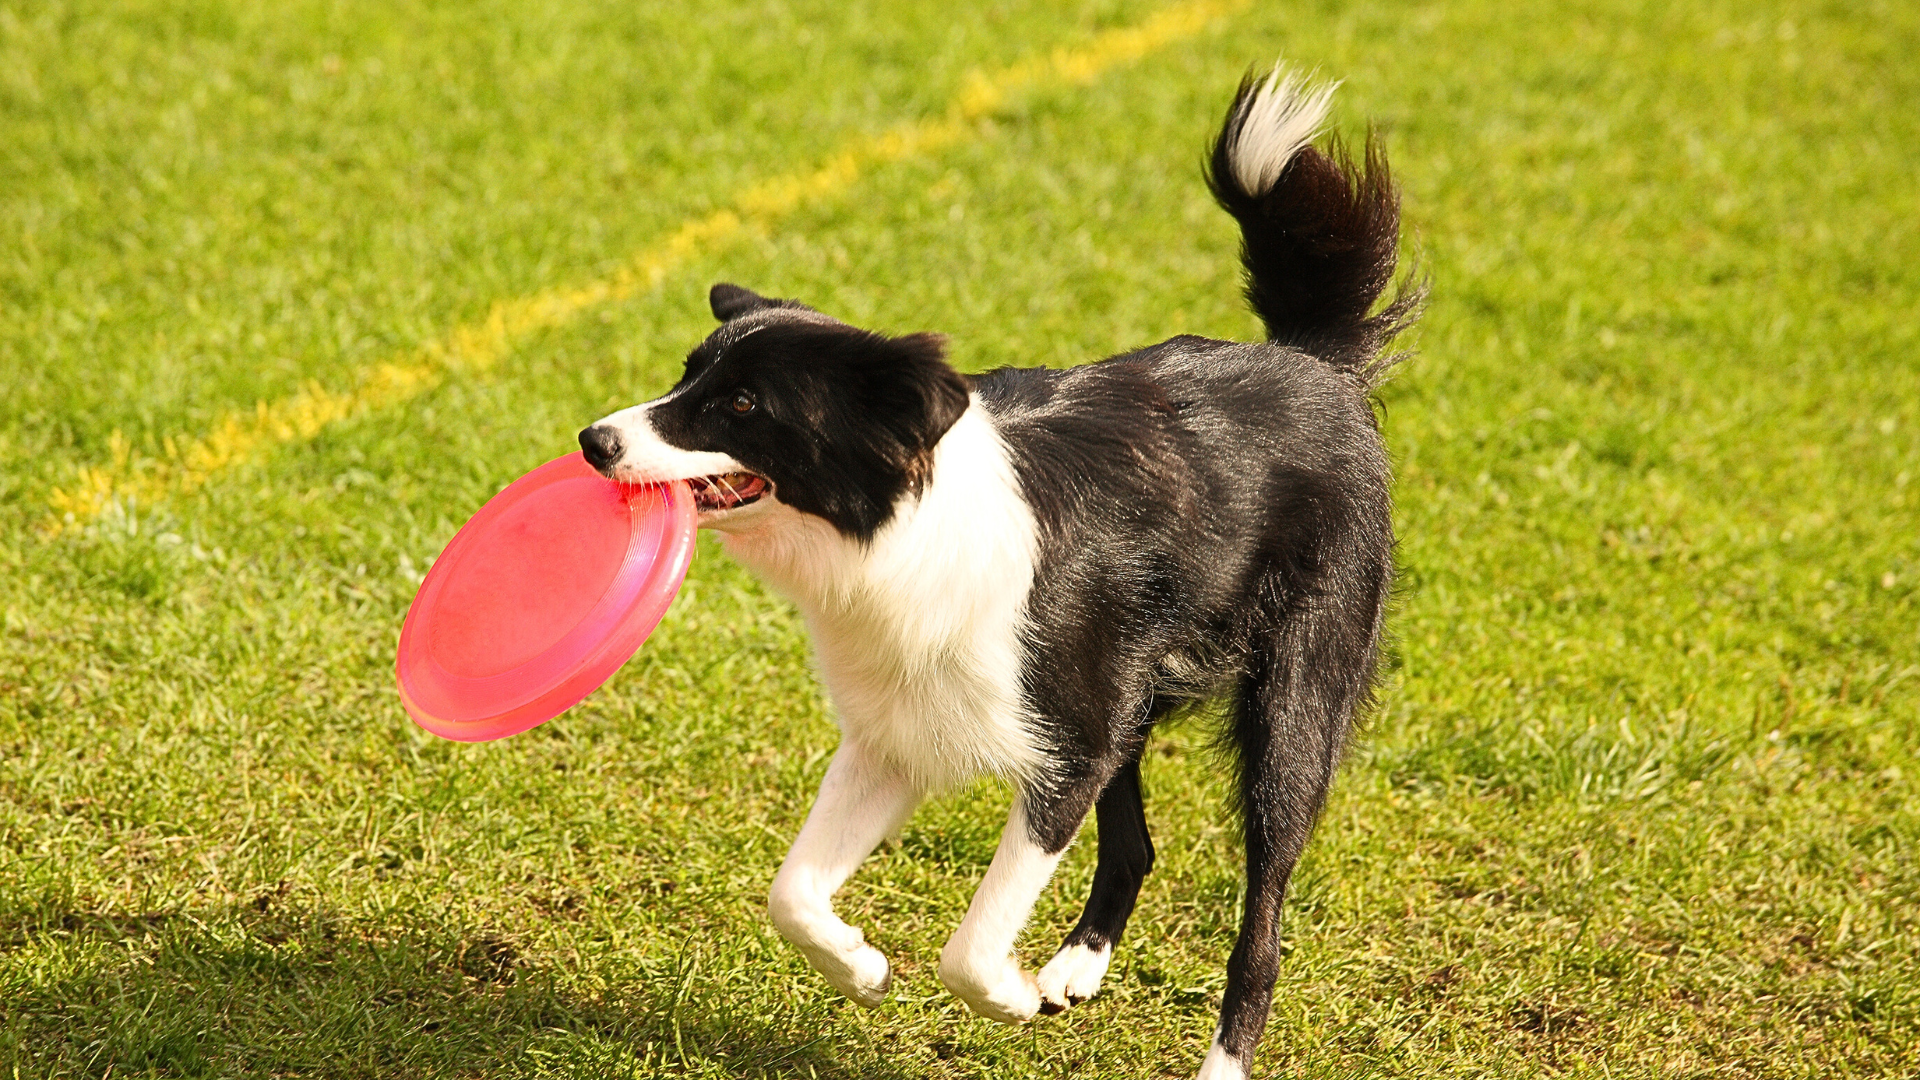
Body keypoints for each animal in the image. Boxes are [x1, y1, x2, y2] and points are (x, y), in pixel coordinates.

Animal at [576, 67, 1420, 1076]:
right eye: (686, 377)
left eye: (741, 404)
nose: (593, 440)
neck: (902, 534)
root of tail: (1310, 361)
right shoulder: (901, 733)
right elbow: (791, 894)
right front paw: (862, 968)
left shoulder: (1067, 752)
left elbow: (970, 947)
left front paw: (1003, 996)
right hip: (1128, 694)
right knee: (1134, 846)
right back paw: (1075, 968)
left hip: (1290, 706)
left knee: (1264, 915)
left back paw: (1219, 1055)